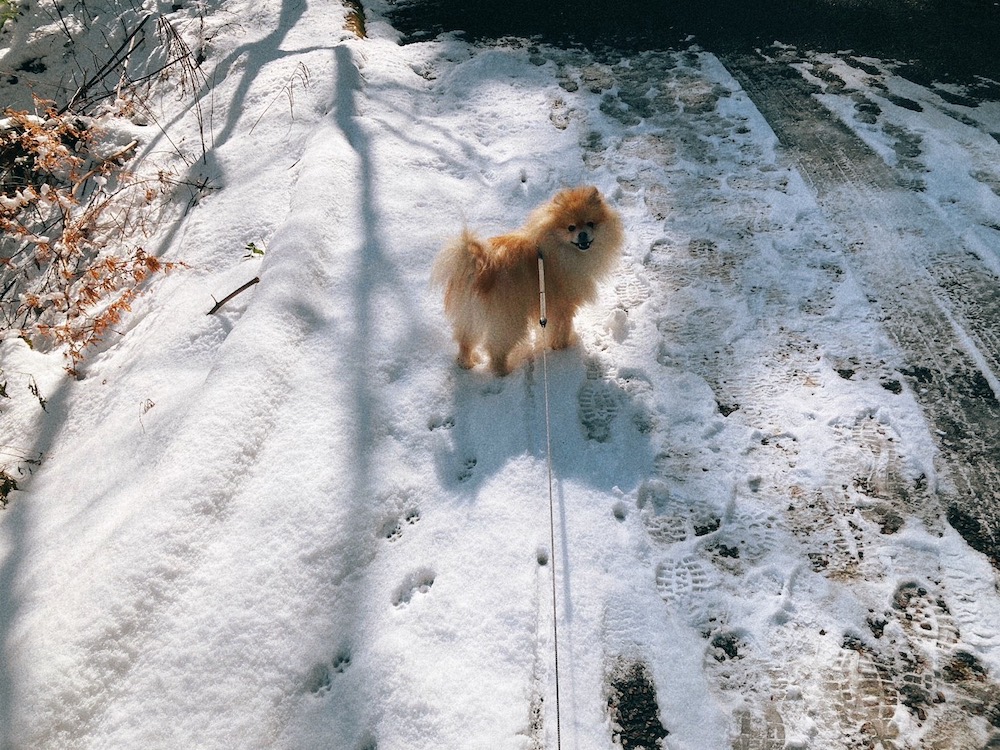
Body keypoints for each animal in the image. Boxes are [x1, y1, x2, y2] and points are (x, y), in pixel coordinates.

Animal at [432, 187, 620, 376]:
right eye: (571, 227)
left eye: (590, 223)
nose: (582, 235)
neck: (558, 250)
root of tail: (479, 271)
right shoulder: (562, 305)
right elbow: (563, 328)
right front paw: (563, 347)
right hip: (510, 320)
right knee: (496, 350)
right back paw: (504, 372)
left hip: (469, 316)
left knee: (465, 341)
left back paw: (466, 363)